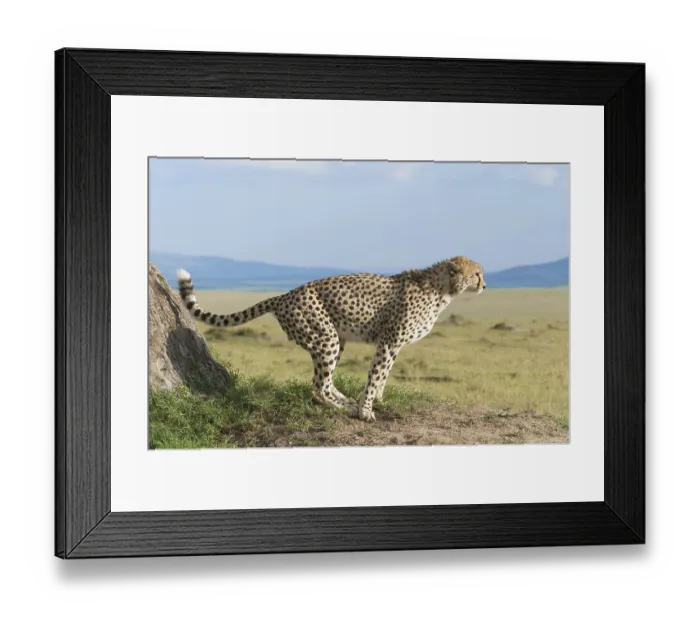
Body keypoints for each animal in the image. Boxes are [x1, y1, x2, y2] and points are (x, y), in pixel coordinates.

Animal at [177, 256, 486, 422]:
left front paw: (374, 400)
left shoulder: (393, 345)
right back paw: (343, 408)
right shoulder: (388, 342)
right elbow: (376, 376)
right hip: (327, 337)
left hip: (335, 340)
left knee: (322, 381)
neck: (442, 289)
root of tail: (285, 294)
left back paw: (346, 402)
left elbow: (383, 377)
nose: (484, 285)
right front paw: (366, 411)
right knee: (319, 386)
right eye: (477, 274)